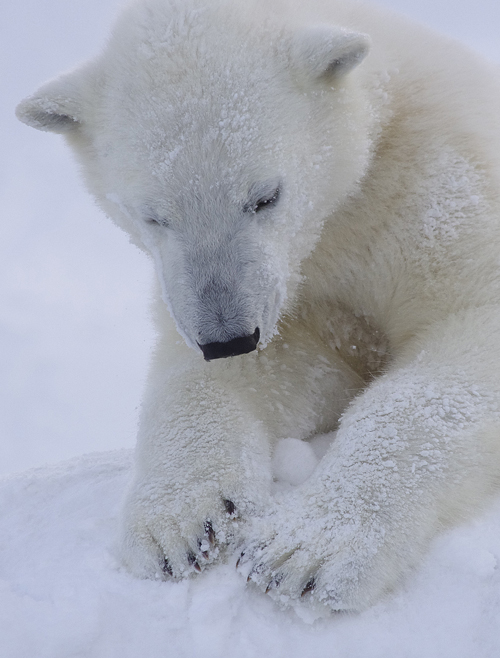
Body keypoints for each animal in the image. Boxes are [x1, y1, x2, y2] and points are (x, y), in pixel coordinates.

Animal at [15, 0, 500, 608]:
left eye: (265, 197)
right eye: (152, 215)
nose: (227, 338)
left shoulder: (434, 191)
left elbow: (458, 338)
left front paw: (303, 552)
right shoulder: (287, 290)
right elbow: (274, 368)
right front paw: (179, 524)